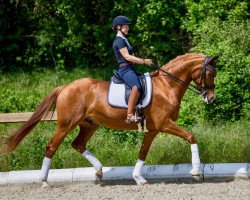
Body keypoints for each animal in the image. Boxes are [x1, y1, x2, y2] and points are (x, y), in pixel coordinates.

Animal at [3, 52, 219, 188]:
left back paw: (99, 172)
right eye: (209, 73)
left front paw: (138, 178)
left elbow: (143, 152)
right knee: (51, 147)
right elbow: (191, 136)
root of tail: (65, 87)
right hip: (66, 125)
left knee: (78, 144)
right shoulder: (164, 124)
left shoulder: (152, 129)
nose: (211, 98)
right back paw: (44, 181)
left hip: (90, 125)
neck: (166, 86)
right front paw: (196, 172)